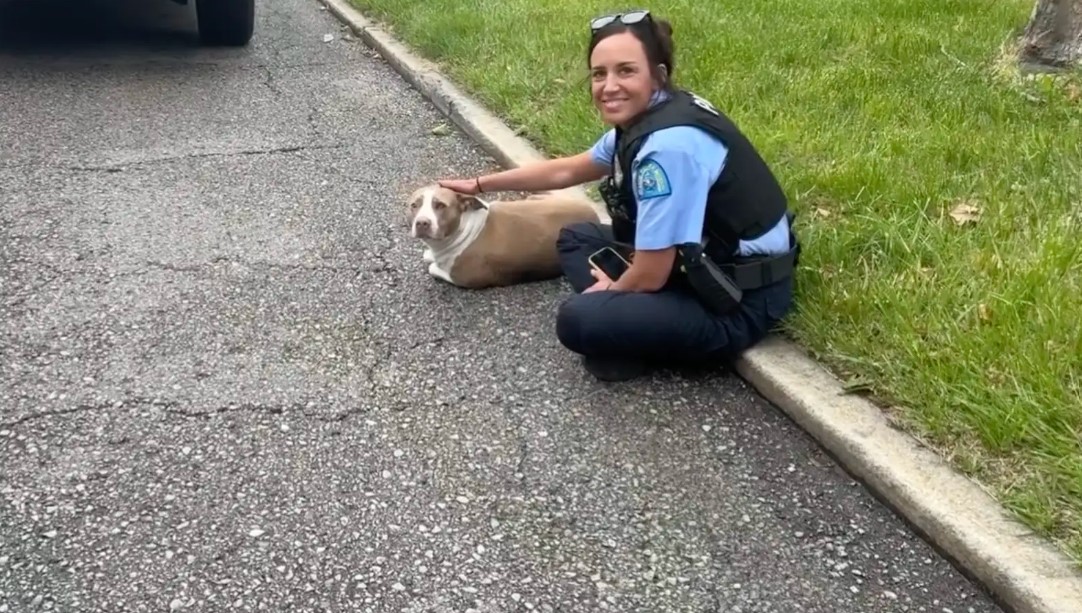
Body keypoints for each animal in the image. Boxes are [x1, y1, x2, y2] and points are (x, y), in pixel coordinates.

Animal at [404, 184, 601, 289]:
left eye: (441, 206)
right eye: (414, 205)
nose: (422, 222)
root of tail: (595, 215)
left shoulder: (466, 278)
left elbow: (434, 268)